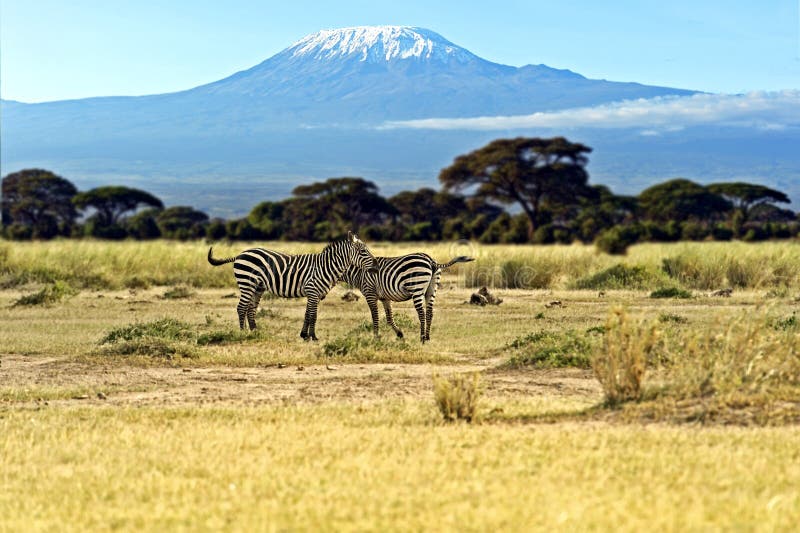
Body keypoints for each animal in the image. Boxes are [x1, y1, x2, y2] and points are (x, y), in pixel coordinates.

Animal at [209, 230, 378, 340]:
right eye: (363, 251)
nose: (376, 265)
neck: (325, 267)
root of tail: (240, 254)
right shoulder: (312, 290)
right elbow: (313, 315)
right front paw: (313, 337)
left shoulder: (314, 294)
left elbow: (307, 314)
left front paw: (304, 335)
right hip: (247, 283)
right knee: (241, 308)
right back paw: (242, 333)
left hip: (258, 287)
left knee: (251, 309)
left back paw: (255, 332)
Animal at [340, 252, 476, 342]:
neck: (359, 273)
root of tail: (431, 260)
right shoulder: (385, 297)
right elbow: (389, 318)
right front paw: (399, 334)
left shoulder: (370, 294)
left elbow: (375, 317)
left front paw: (375, 338)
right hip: (431, 290)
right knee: (429, 312)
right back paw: (427, 337)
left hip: (417, 288)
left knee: (422, 313)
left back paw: (422, 338)